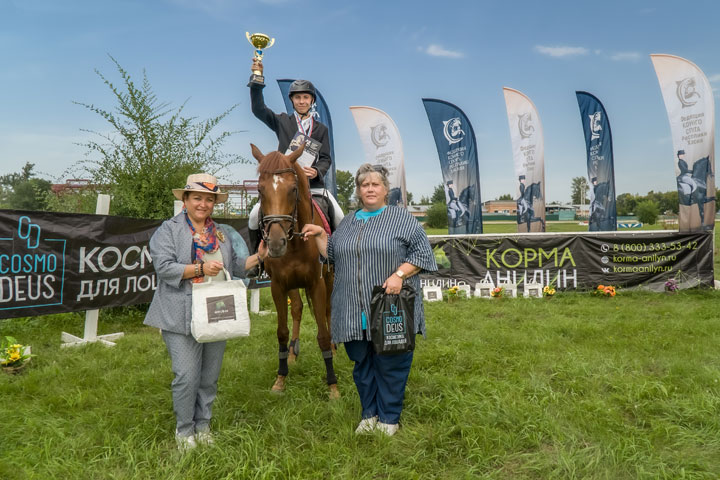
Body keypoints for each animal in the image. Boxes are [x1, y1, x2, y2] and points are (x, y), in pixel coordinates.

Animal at [249, 144, 338, 400]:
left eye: (293, 189)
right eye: (260, 189)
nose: (276, 243)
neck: (296, 242)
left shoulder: (317, 284)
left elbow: (322, 334)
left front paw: (333, 386)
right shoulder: (279, 286)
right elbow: (282, 331)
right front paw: (280, 379)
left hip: (329, 279)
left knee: (328, 311)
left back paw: (335, 348)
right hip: (292, 285)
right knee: (297, 309)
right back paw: (292, 353)